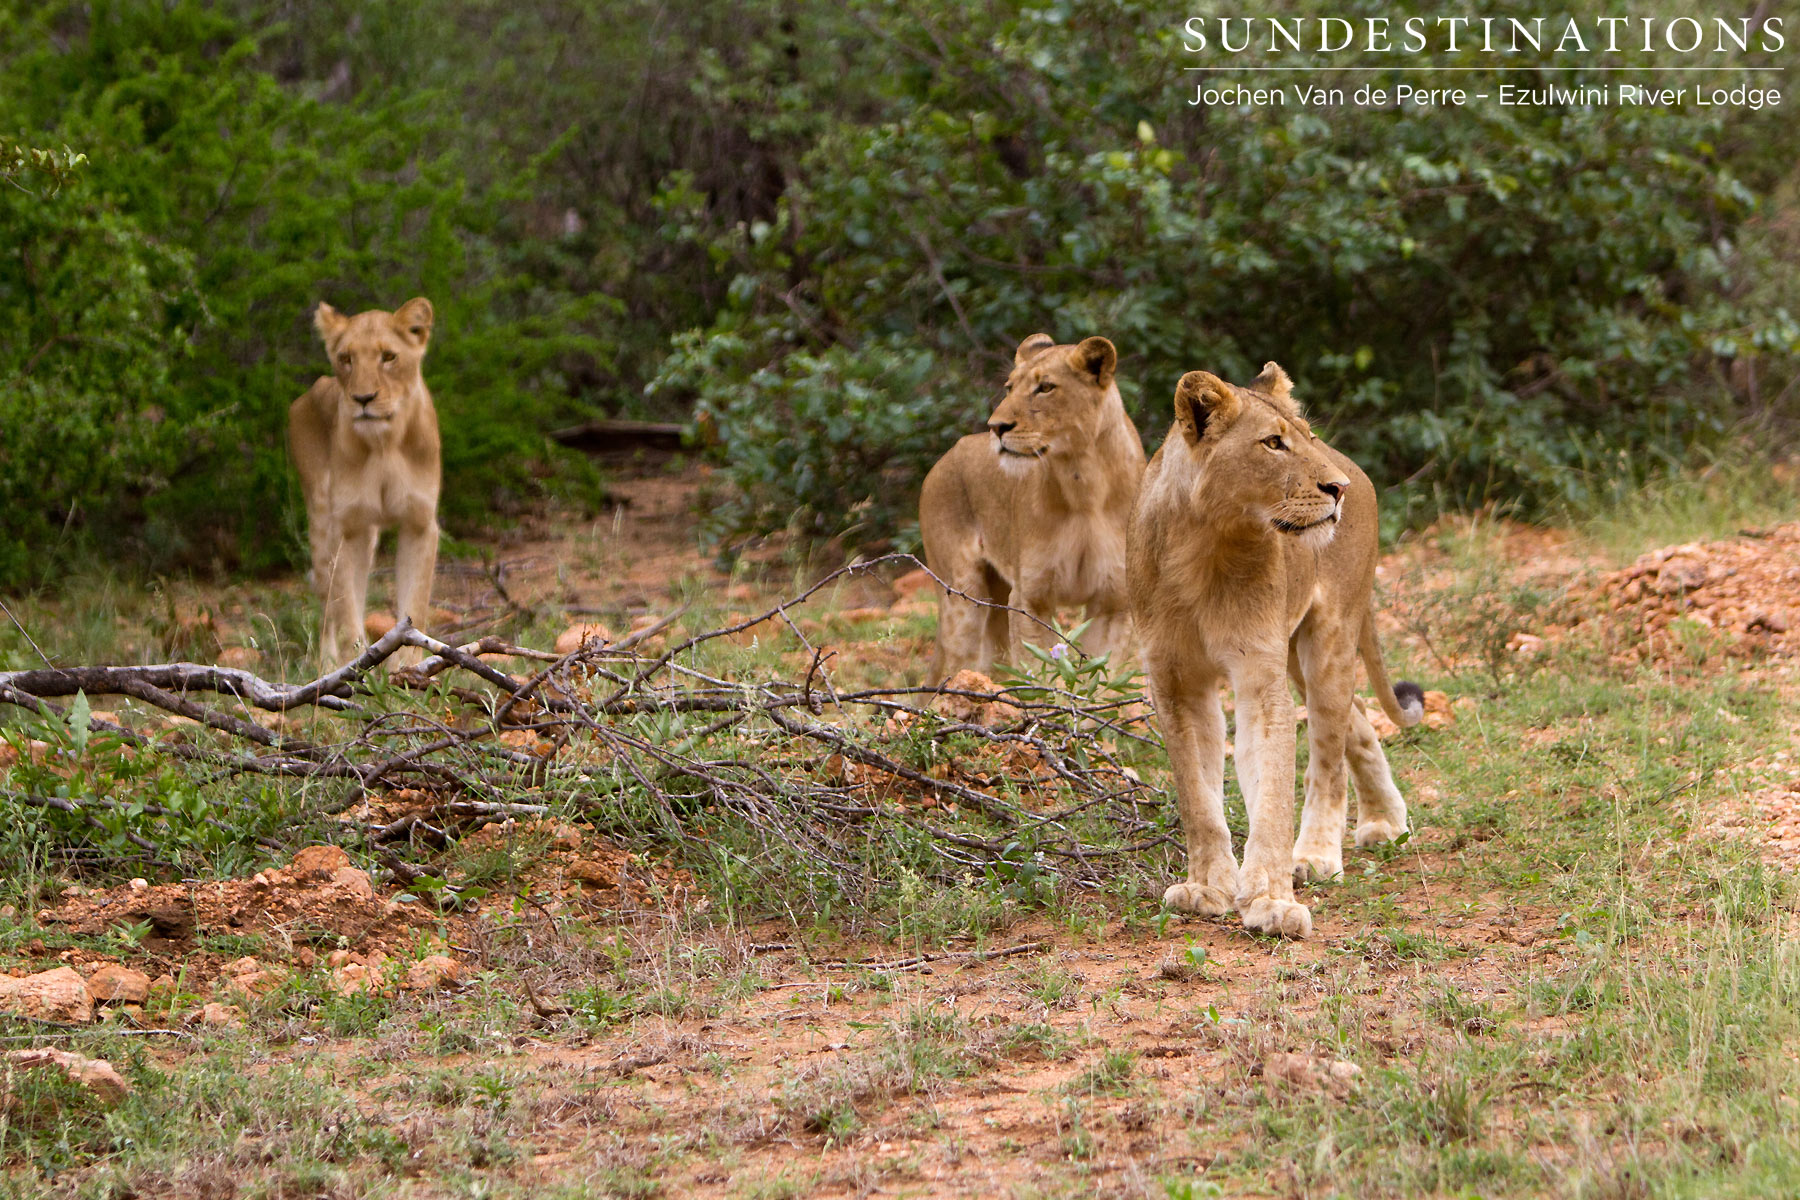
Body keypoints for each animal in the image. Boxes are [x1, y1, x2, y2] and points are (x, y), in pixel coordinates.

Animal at [289, 297, 441, 668]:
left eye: (389, 356)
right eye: (346, 358)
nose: (363, 398)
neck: (384, 444)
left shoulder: (419, 524)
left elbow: (415, 604)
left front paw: (406, 670)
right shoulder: (347, 529)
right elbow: (347, 615)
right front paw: (358, 670)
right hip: (321, 519)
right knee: (327, 602)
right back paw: (326, 667)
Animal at [919, 334, 1146, 682]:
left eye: (1046, 387)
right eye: (1009, 387)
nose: (996, 426)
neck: (1084, 484)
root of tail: (943, 459)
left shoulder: (1114, 603)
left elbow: (1099, 677)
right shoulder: (1031, 598)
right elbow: (1040, 671)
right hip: (963, 598)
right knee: (959, 665)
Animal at [1127, 363, 1423, 939]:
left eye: (1307, 438)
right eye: (1273, 443)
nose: (1337, 488)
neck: (1204, 546)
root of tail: (1360, 469)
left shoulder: (1260, 678)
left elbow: (1273, 795)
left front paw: (1270, 900)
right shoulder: (1174, 683)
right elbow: (1198, 798)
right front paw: (1207, 888)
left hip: (1327, 641)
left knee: (1329, 755)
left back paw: (1317, 856)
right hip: (1296, 656)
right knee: (1357, 720)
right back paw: (1385, 821)